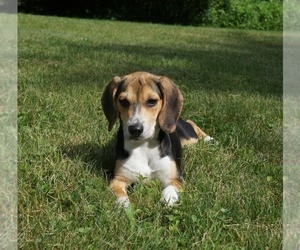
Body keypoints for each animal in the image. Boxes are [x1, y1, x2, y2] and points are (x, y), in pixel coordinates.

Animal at [101, 72, 213, 207]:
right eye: (123, 102)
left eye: (152, 101)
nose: (135, 129)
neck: (143, 146)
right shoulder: (117, 179)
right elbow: (120, 196)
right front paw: (124, 206)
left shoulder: (174, 178)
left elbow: (169, 190)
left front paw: (167, 200)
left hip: (189, 138)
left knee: (191, 123)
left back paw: (209, 139)